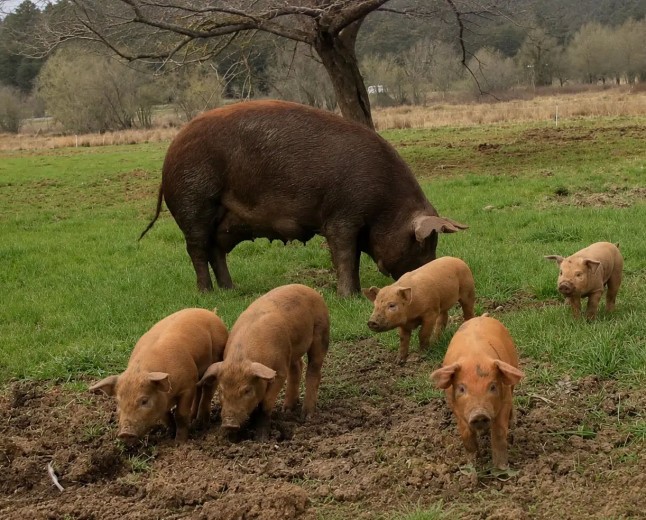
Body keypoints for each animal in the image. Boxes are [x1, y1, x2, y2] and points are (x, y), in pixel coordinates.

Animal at [89, 308, 228, 443]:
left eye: (144, 401)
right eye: (118, 402)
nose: (125, 433)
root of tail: (210, 312)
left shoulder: (187, 386)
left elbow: (181, 415)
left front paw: (179, 442)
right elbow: (165, 417)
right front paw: (170, 433)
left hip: (215, 358)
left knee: (208, 390)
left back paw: (202, 423)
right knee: (199, 389)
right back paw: (194, 419)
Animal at [138, 100, 467, 297]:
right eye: (424, 244)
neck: (386, 207)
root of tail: (169, 155)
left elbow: (352, 258)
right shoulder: (341, 216)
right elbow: (345, 255)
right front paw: (350, 296)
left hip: (223, 219)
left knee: (215, 250)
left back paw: (231, 290)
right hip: (193, 203)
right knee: (196, 249)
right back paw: (206, 293)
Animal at [197, 284, 329, 439]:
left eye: (247, 390)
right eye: (221, 390)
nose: (229, 423)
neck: (240, 359)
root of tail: (310, 289)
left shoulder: (279, 372)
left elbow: (266, 402)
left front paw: (261, 437)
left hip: (321, 333)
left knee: (314, 371)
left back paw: (306, 415)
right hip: (292, 350)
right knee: (297, 367)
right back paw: (287, 410)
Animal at [430, 316, 524, 470]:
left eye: (493, 387)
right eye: (461, 389)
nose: (479, 414)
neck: (475, 358)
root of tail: (482, 316)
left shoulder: (505, 400)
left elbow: (499, 433)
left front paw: (501, 469)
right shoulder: (455, 407)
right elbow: (466, 434)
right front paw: (472, 466)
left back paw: (513, 423)